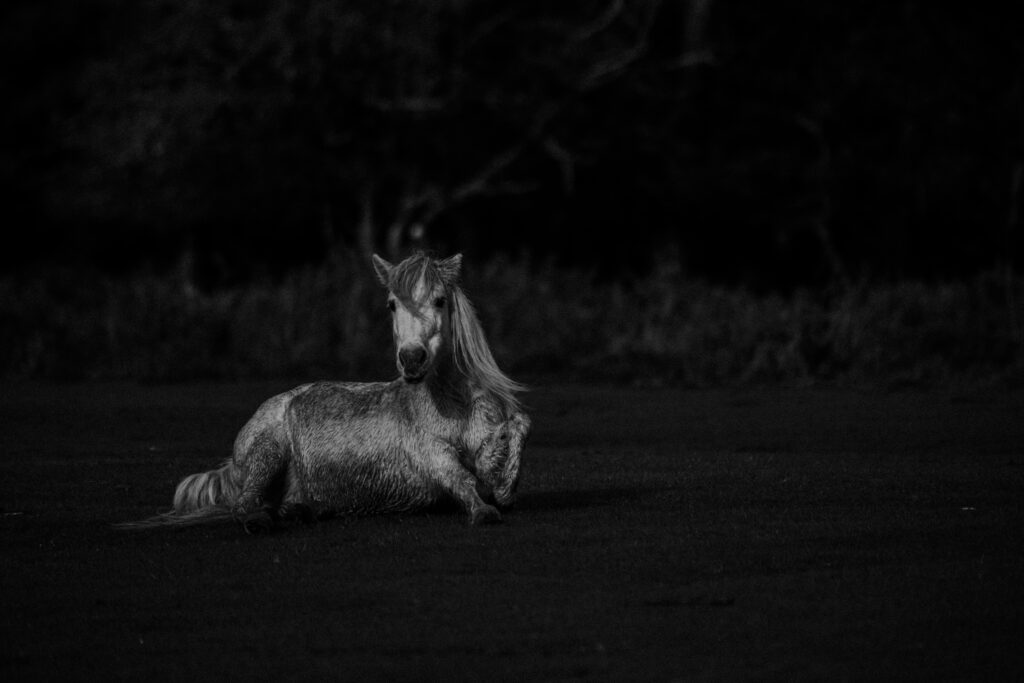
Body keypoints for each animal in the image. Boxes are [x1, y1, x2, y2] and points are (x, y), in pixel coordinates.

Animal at [120, 252, 530, 529]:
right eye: (391, 304)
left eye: (440, 300)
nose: (412, 360)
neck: (452, 404)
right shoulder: (431, 455)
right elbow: (462, 479)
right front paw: (483, 512)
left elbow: (513, 440)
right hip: (267, 451)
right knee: (244, 503)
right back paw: (262, 519)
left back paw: (297, 510)